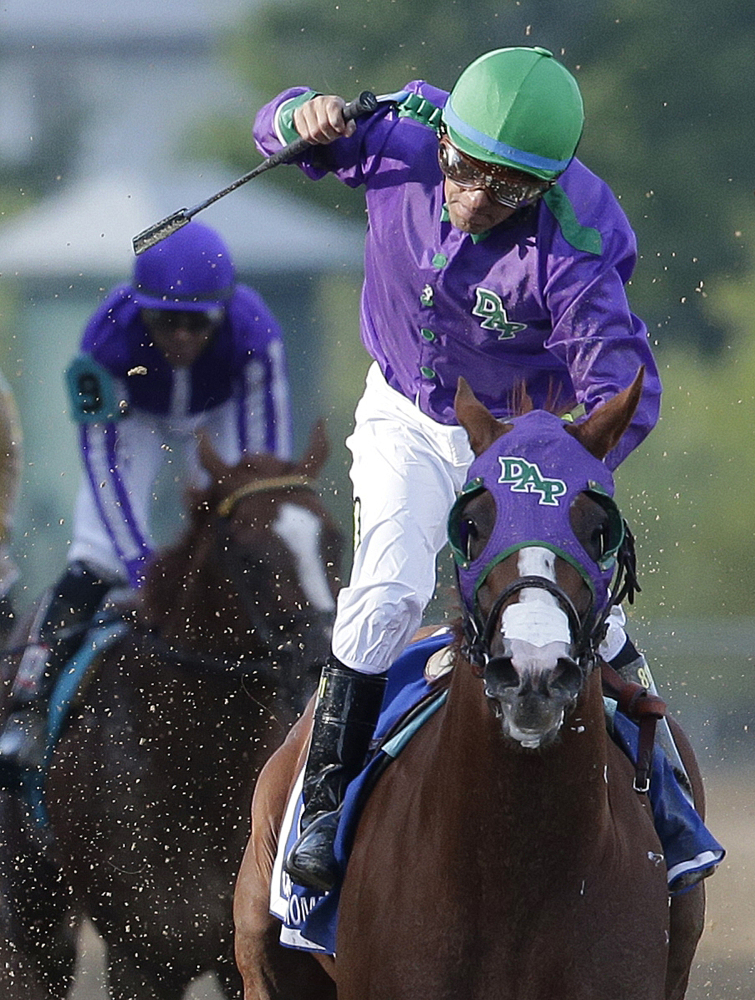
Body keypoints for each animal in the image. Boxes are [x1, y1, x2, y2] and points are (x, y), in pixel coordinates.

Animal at [0, 424, 342, 1000]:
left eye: (334, 541)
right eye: (250, 556)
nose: (322, 660)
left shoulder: (240, 955)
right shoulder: (142, 958)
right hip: (33, 921)